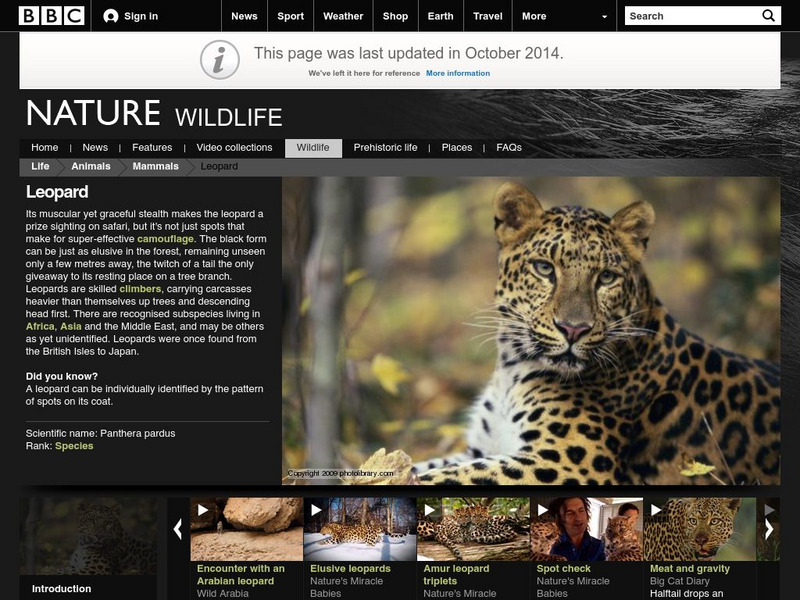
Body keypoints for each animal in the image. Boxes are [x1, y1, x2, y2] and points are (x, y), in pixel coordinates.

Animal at [414, 181, 780, 486]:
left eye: (606, 277)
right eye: (544, 268)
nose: (573, 329)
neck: (513, 369)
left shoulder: (570, 461)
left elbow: (446, 477)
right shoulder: (480, 449)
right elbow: (423, 466)